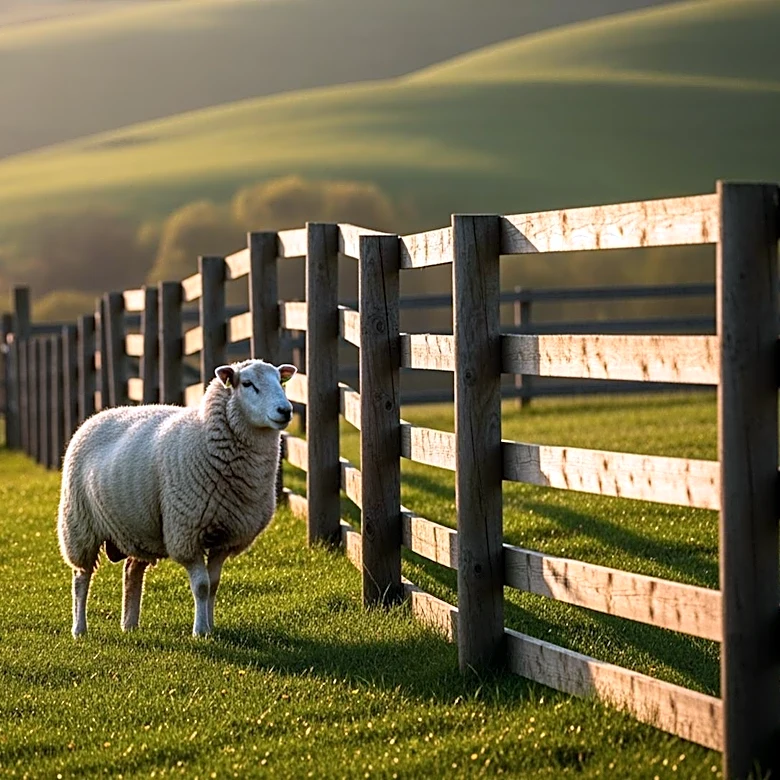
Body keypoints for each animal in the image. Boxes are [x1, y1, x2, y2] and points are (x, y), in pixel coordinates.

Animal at [57, 358, 297, 638]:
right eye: (248, 384)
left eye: (280, 382)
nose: (285, 410)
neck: (204, 437)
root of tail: (96, 416)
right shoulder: (186, 534)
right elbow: (202, 585)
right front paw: (200, 631)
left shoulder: (225, 537)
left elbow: (214, 584)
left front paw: (211, 626)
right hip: (79, 525)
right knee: (81, 578)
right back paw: (79, 629)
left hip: (138, 530)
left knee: (131, 571)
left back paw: (130, 625)